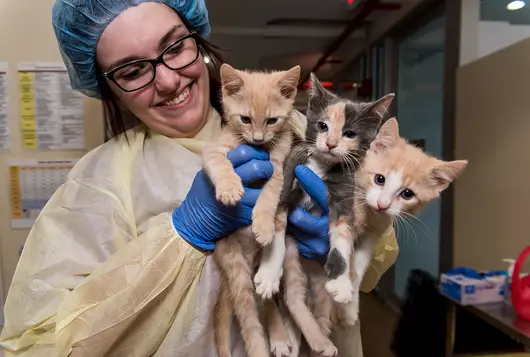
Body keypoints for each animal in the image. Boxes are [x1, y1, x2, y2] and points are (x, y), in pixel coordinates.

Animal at [202, 62, 300, 356]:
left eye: (271, 121)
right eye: (245, 119)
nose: (257, 139)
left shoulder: (278, 169)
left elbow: (269, 195)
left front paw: (264, 225)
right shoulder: (216, 150)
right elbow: (220, 163)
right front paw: (229, 188)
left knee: (262, 299)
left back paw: (277, 336)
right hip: (235, 266)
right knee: (247, 317)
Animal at [276, 73, 392, 354]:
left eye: (349, 133)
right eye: (322, 126)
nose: (330, 144)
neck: (321, 167)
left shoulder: (344, 193)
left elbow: (342, 233)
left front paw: (340, 283)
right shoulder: (291, 174)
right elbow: (279, 216)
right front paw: (267, 272)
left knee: (316, 308)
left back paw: (322, 341)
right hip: (293, 254)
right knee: (293, 297)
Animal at [334, 117, 466, 326]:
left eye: (407, 194)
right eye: (380, 179)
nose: (383, 205)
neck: (370, 214)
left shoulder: (372, 235)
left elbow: (359, 268)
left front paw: (350, 307)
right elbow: (341, 239)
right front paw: (340, 284)